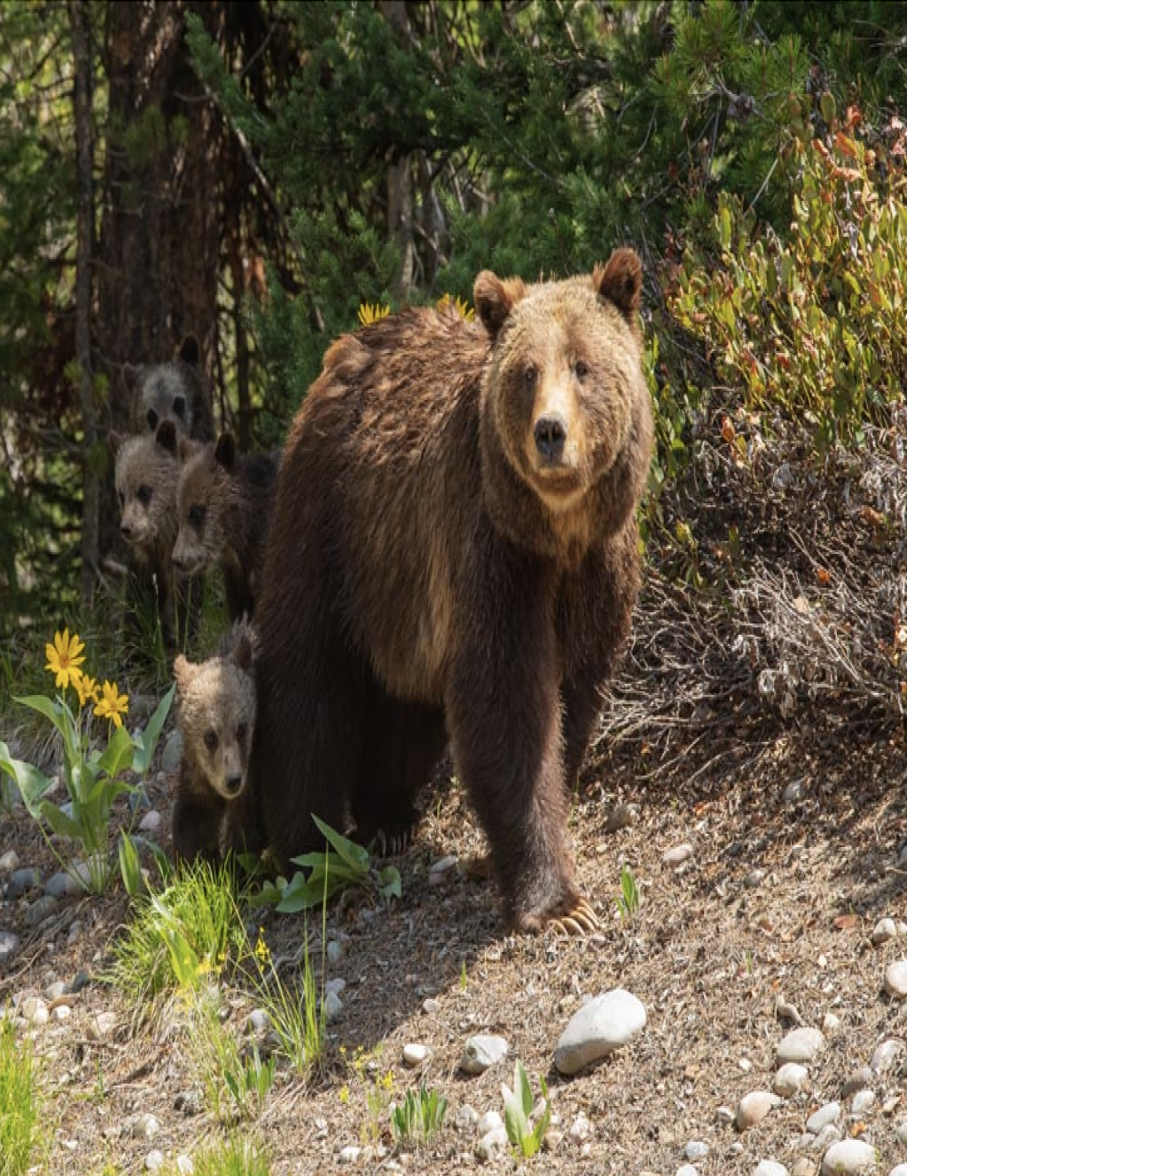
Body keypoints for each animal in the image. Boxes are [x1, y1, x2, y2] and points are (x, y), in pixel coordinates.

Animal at [243, 250, 653, 936]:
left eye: (583, 366)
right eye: (526, 371)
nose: (550, 432)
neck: (557, 534)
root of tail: (347, 345)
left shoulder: (598, 570)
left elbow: (575, 693)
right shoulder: (493, 555)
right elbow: (506, 704)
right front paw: (558, 903)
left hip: (398, 587)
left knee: (405, 704)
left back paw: (387, 816)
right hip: (328, 522)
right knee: (308, 680)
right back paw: (309, 848)